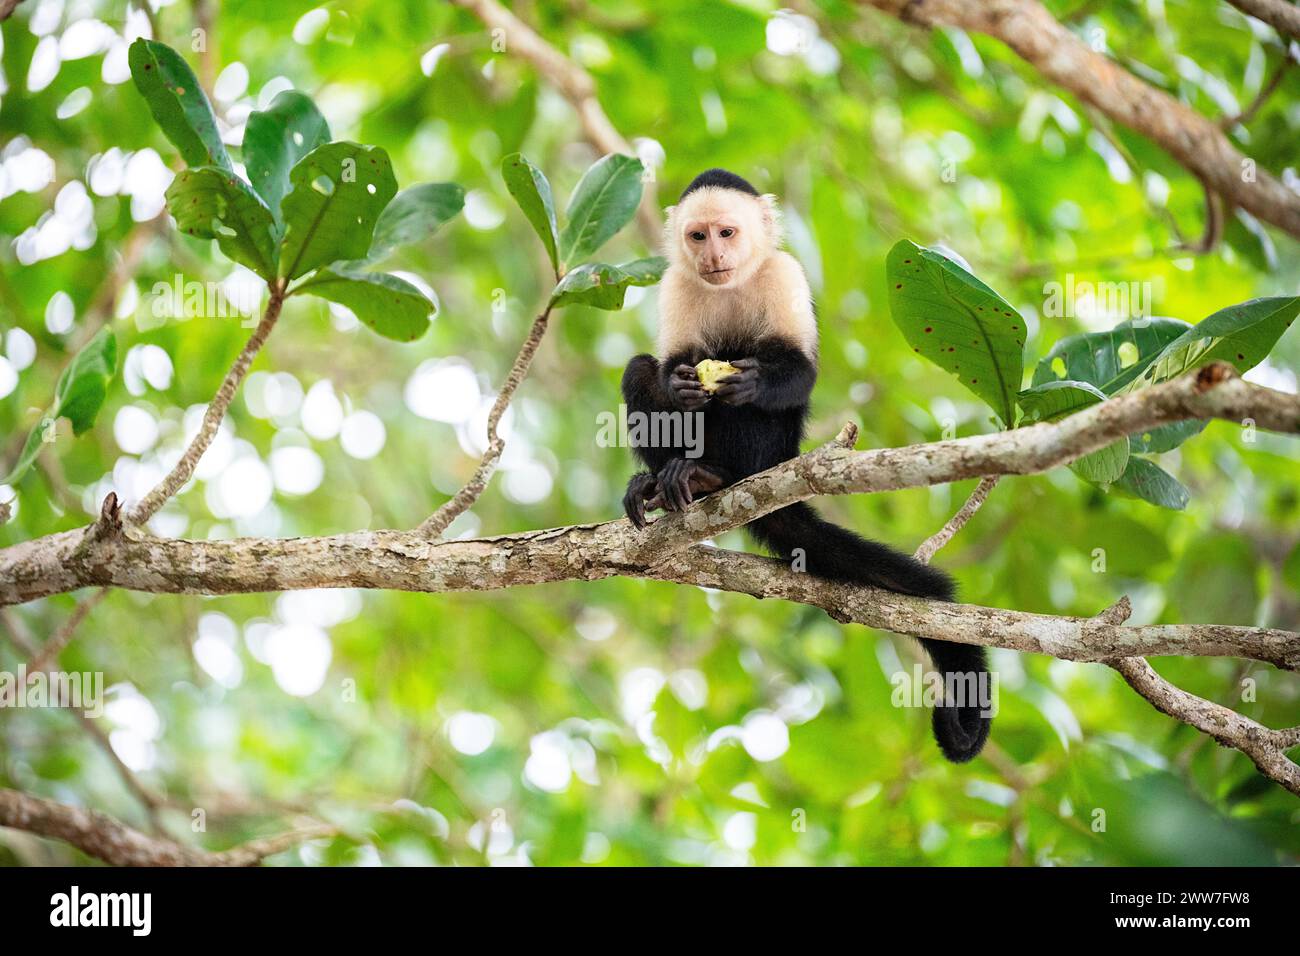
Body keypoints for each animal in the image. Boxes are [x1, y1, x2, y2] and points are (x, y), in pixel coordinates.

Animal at [620, 168, 991, 763]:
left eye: (727, 232)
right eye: (698, 236)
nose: (713, 256)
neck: (732, 284)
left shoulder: (784, 275)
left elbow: (796, 369)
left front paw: (751, 379)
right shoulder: (676, 285)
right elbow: (669, 365)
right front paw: (678, 385)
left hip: (769, 454)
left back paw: (712, 476)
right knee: (638, 371)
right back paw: (664, 481)